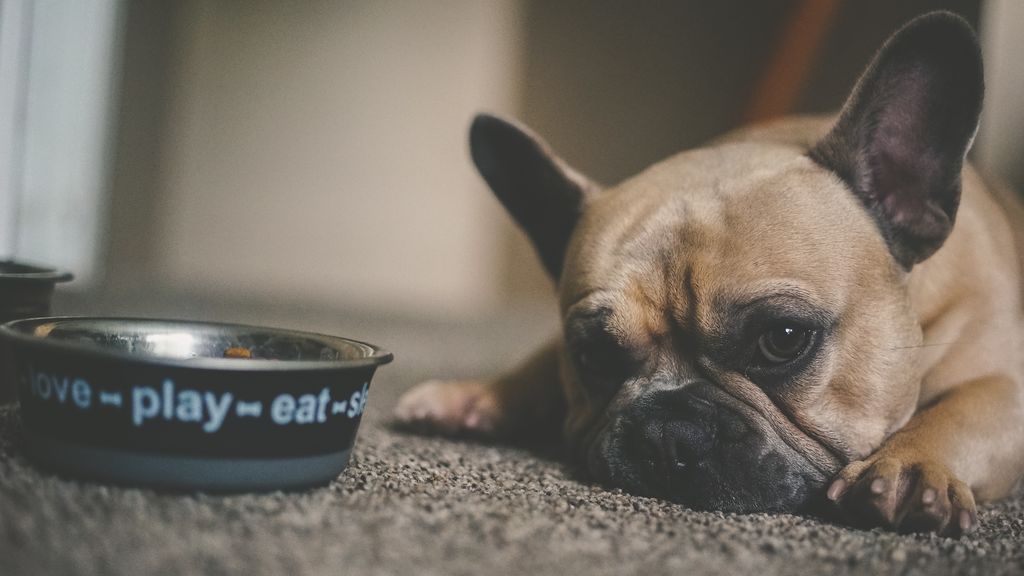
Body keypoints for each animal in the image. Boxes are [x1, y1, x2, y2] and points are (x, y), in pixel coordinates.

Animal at [393, 12, 1024, 532]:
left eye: (784, 340)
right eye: (592, 355)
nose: (667, 432)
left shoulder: (1007, 385)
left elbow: (964, 410)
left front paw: (910, 465)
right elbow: (541, 361)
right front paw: (479, 394)